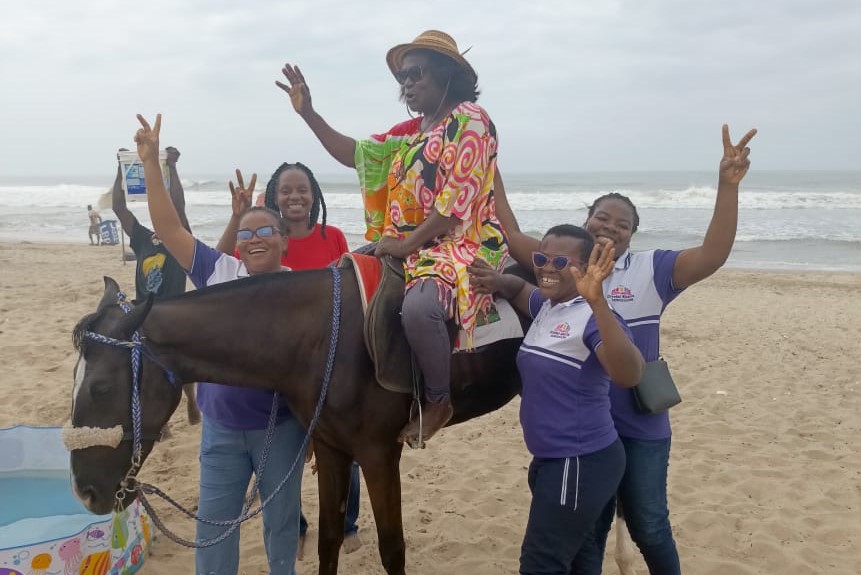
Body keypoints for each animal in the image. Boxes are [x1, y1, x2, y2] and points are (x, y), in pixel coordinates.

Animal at [67, 266, 524, 575]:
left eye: (101, 388)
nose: (84, 492)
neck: (322, 337)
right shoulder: (331, 447)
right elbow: (329, 539)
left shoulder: (378, 455)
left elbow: (393, 548)